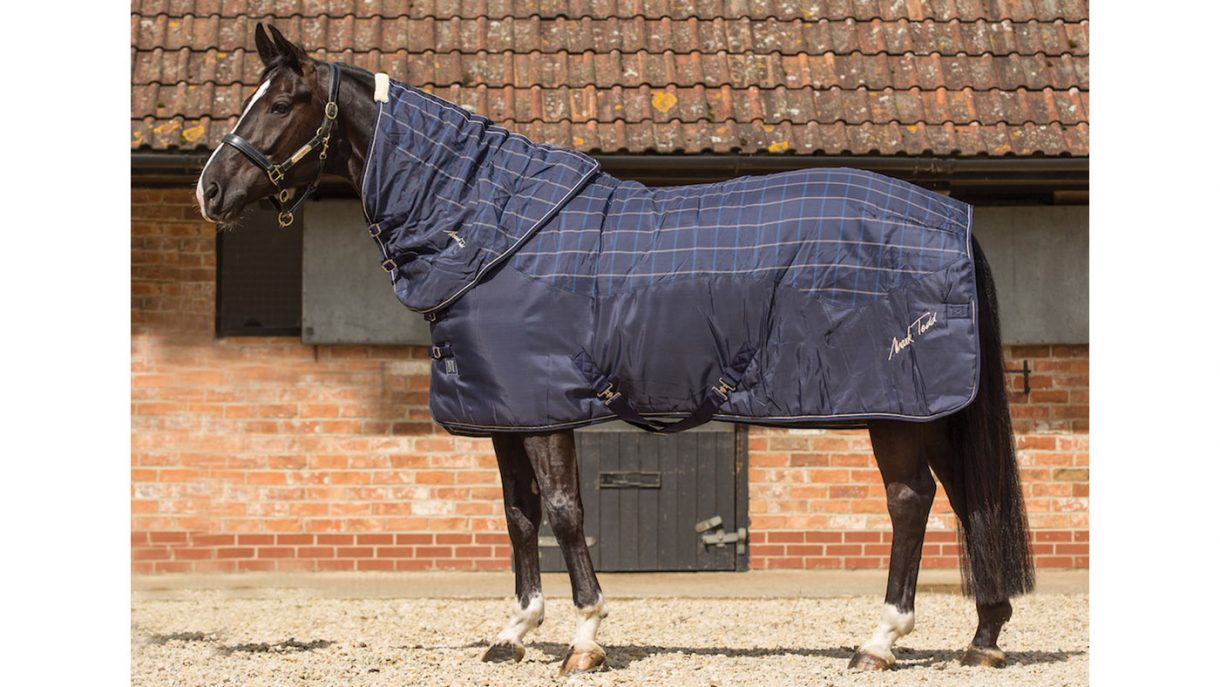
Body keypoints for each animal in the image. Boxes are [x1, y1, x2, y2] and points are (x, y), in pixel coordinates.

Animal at [196, 24, 1035, 675]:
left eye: (281, 103)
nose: (210, 190)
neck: (487, 224)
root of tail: (953, 219)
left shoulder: (544, 409)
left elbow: (566, 511)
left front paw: (585, 636)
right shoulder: (503, 410)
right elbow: (519, 514)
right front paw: (515, 630)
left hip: (897, 403)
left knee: (911, 501)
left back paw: (882, 639)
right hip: (933, 405)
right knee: (968, 494)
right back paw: (985, 634)